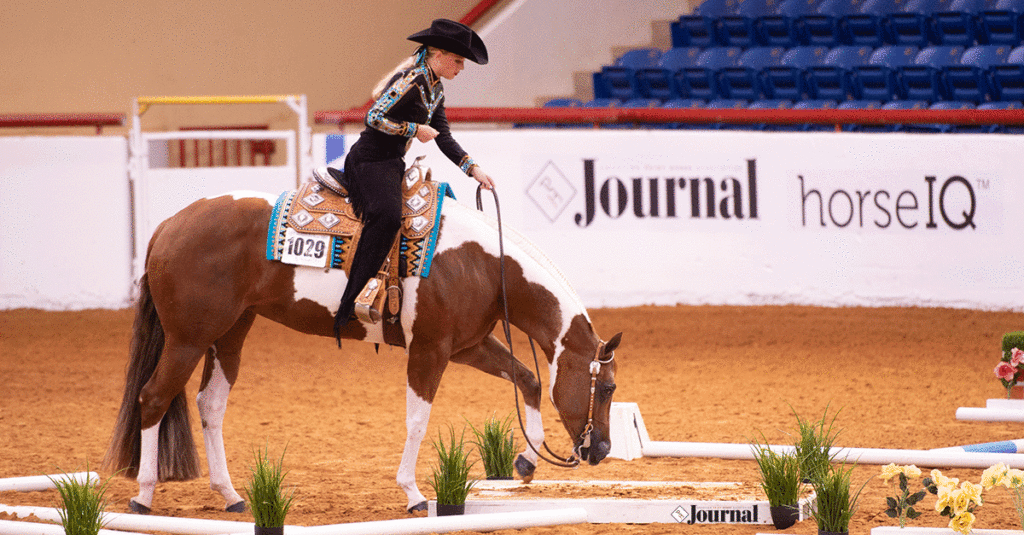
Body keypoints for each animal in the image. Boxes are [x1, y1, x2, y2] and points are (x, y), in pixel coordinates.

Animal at [101, 182, 622, 512]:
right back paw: (143, 496)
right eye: (608, 388)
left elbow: (529, 380)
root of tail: (171, 224)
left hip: (229, 334)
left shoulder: (468, 346)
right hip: (188, 338)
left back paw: (230, 496)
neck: (483, 263)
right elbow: (417, 421)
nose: (601, 449)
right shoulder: (429, 351)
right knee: (153, 397)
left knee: (209, 405)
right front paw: (413, 494)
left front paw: (527, 460)